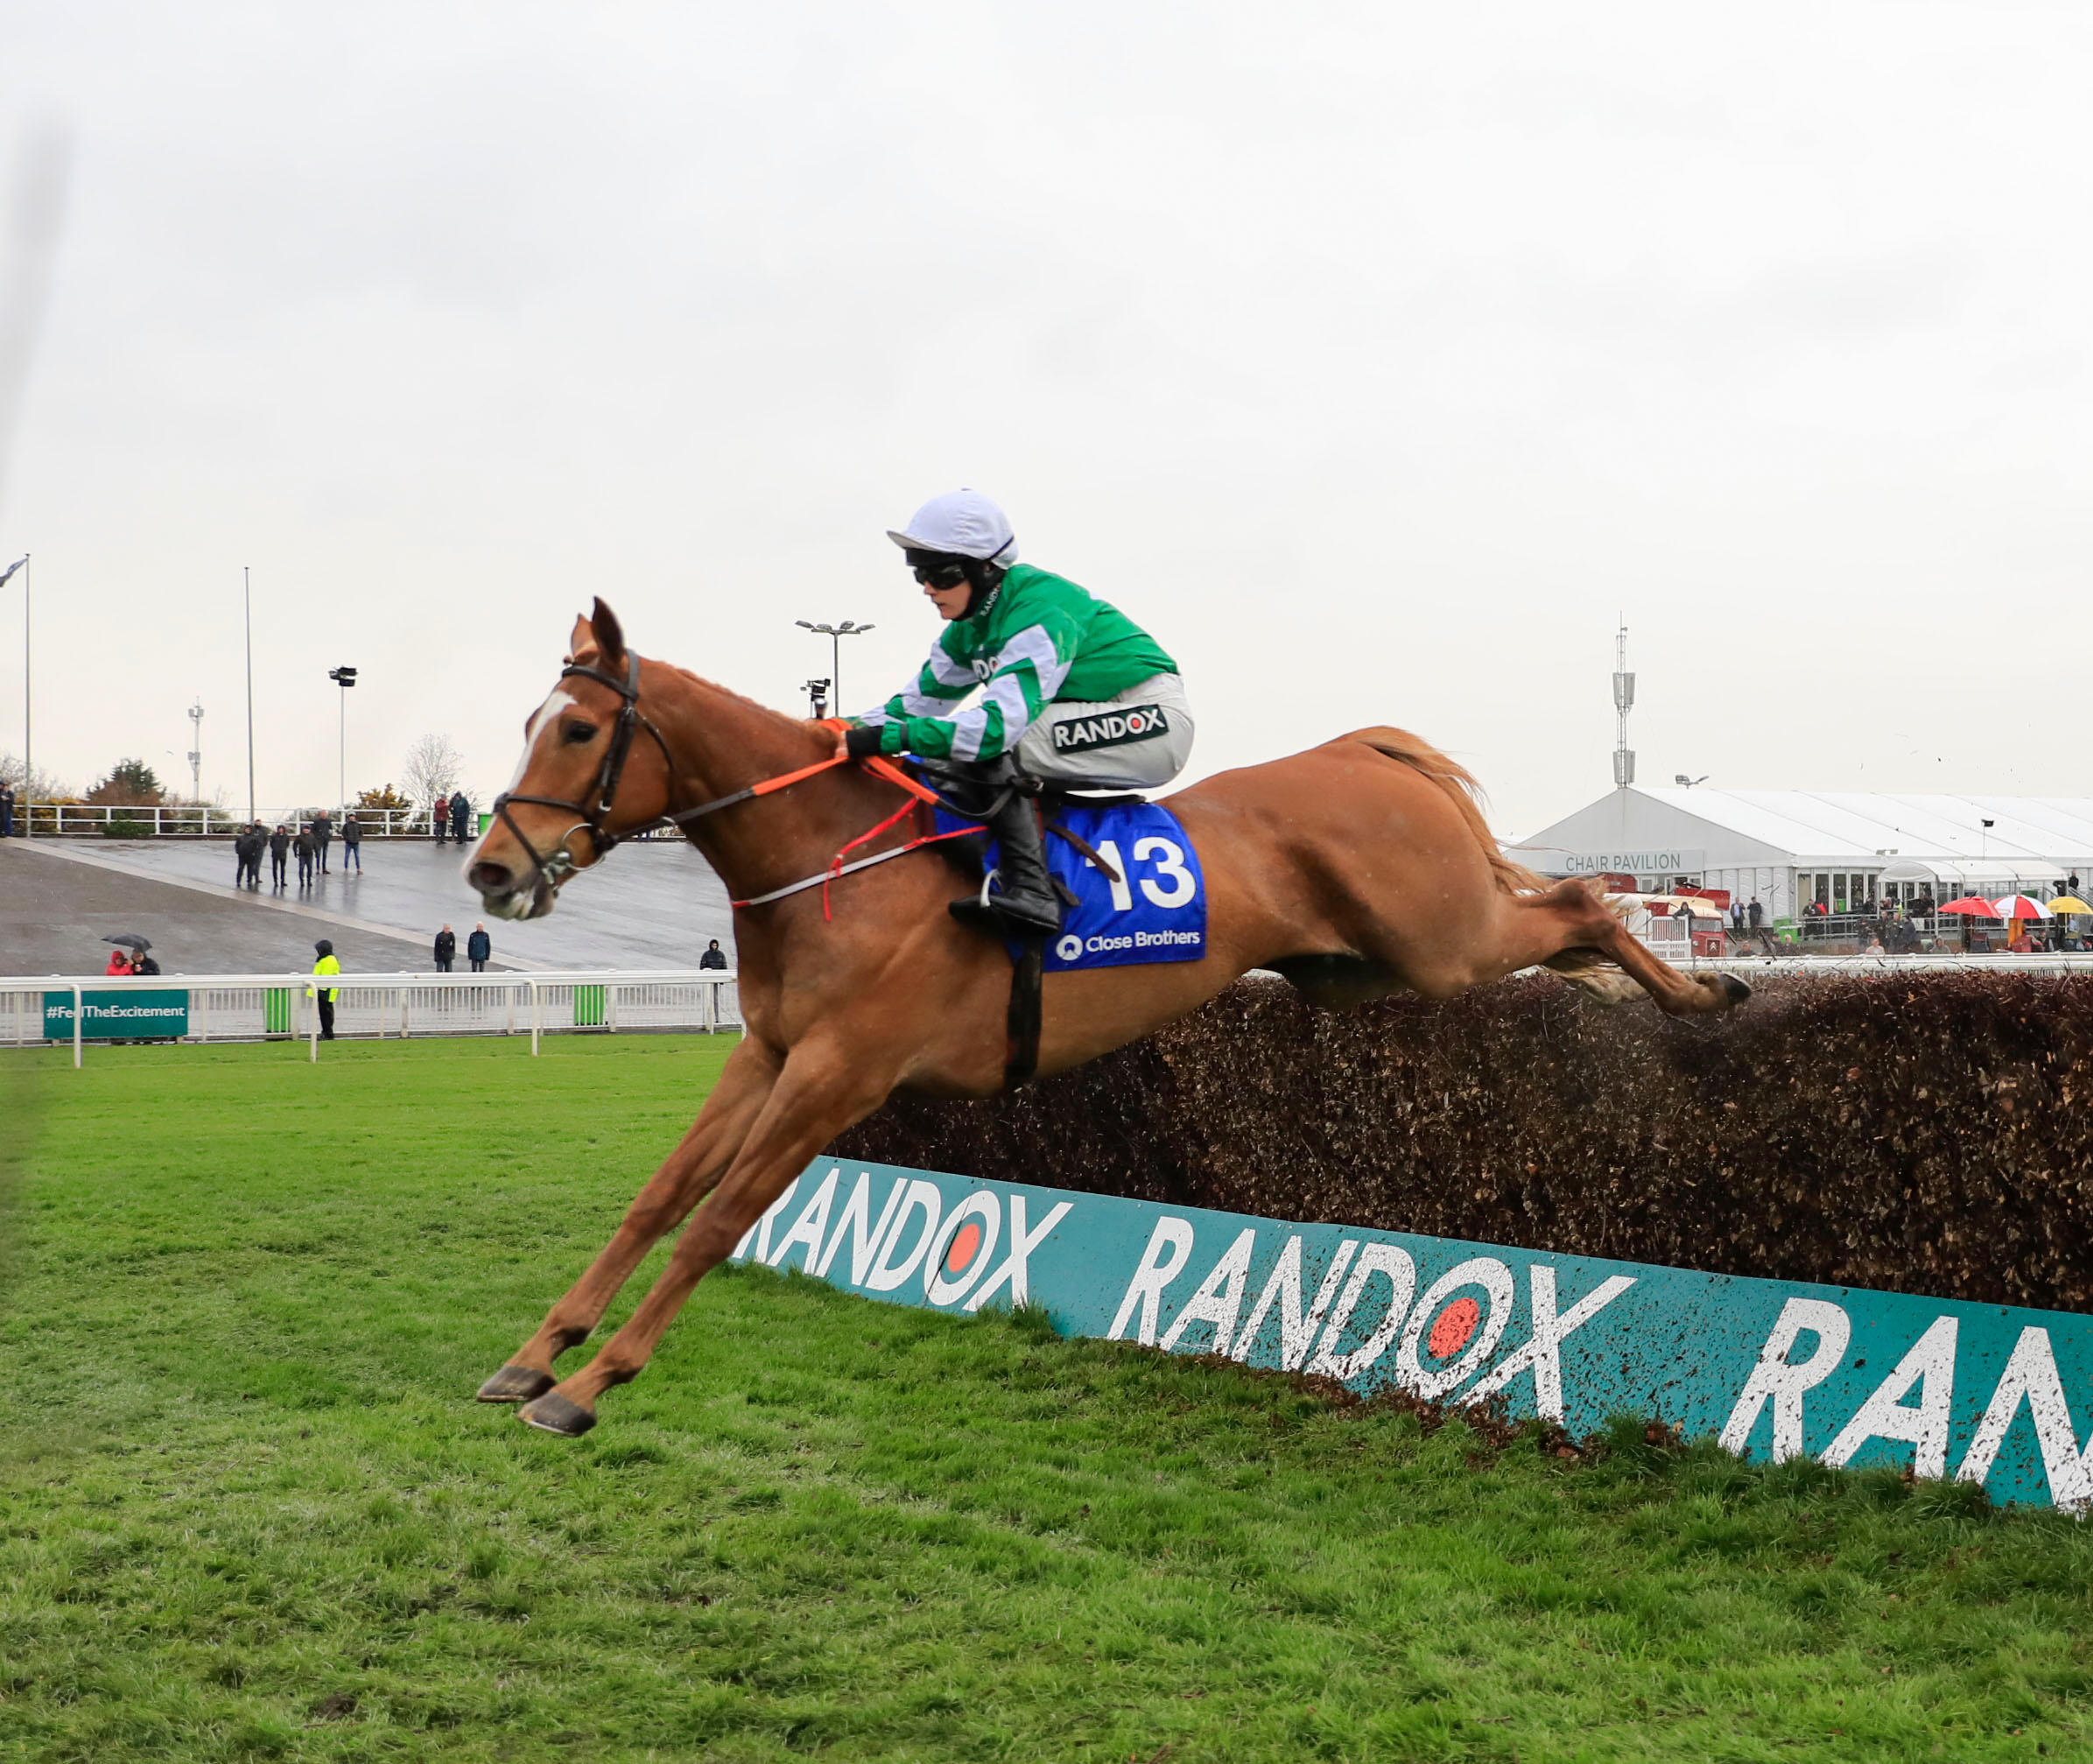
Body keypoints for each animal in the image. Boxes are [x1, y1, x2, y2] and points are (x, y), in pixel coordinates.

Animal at [462, 602, 1749, 1430]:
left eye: (577, 729)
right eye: (530, 720)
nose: (489, 870)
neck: (834, 862)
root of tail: (1364, 751)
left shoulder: (840, 1072)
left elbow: (714, 1222)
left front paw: (590, 1384)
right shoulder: (771, 1052)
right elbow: (656, 1201)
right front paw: (533, 1355)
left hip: (1438, 940)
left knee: (1578, 900)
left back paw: (1701, 990)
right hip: (1364, 966)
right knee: (1564, 925)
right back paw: (1646, 986)